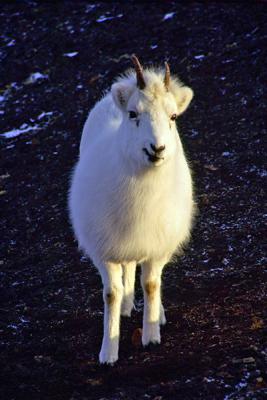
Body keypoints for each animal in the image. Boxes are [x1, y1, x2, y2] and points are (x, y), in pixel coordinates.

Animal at [68, 56, 196, 366]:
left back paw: (158, 314)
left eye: (173, 117)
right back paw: (127, 307)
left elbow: (151, 284)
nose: (157, 148)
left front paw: (151, 337)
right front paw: (108, 354)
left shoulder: (157, 248)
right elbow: (111, 295)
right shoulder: (105, 252)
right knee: (127, 271)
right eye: (133, 114)